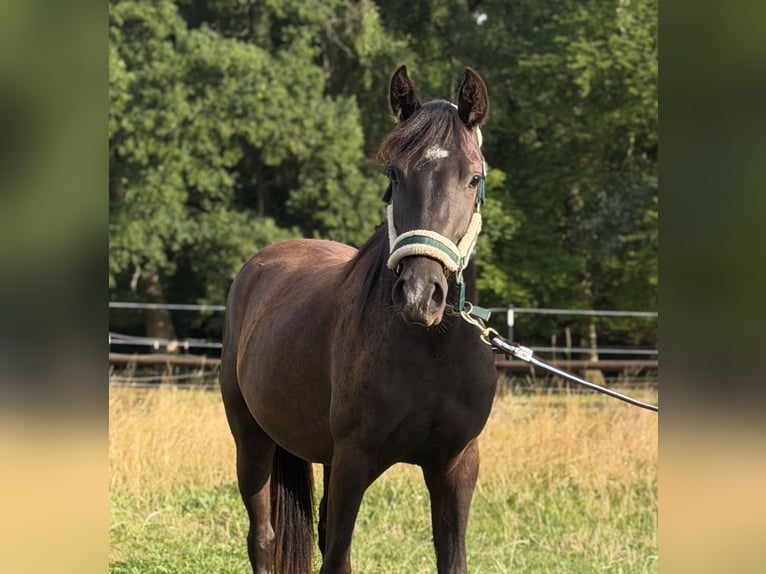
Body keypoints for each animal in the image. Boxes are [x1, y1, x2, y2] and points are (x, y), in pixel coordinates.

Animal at [220, 65, 497, 574]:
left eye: (472, 178)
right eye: (394, 173)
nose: (420, 295)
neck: (430, 352)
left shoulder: (455, 466)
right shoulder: (354, 462)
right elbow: (335, 556)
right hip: (251, 438)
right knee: (263, 537)